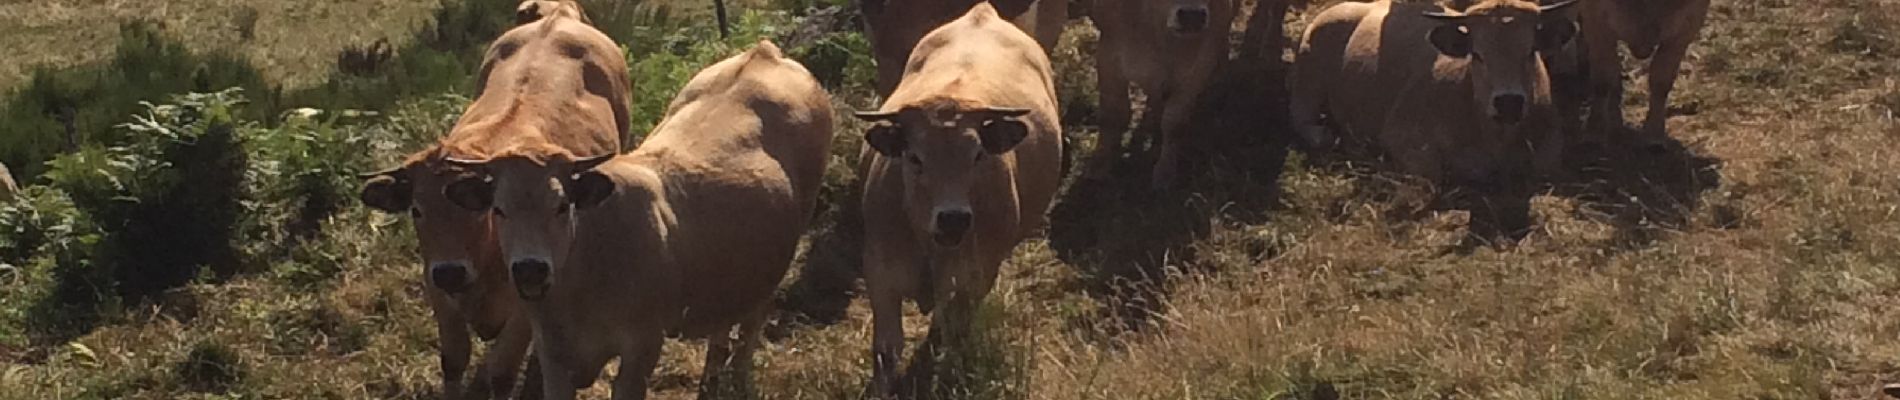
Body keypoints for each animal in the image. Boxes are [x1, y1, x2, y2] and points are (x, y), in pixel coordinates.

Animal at [440, 41, 836, 400]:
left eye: (562, 205)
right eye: (498, 209)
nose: (530, 269)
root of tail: (763, 53)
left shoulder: (641, 348)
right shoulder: (553, 356)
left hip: (777, 264)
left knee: (750, 328)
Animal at [1094, 0, 1238, 188]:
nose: (1192, 16)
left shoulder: (1197, 70)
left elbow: (1173, 124)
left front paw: (1165, 172)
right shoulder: (1109, 59)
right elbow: (1112, 116)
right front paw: (1100, 165)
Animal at [1284, 0, 1580, 184]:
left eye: (1530, 51)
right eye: (1478, 54)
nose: (1509, 102)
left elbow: (1545, 167)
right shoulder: (1400, 133)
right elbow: (1432, 173)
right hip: (1307, 82)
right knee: (1303, 120)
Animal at [1573, 0, 1710, 145]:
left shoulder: (1686, 28)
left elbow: (1661, 82)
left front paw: (1655, 134)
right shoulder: (1596, 22)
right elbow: (1602, 81)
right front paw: (1594, 130)